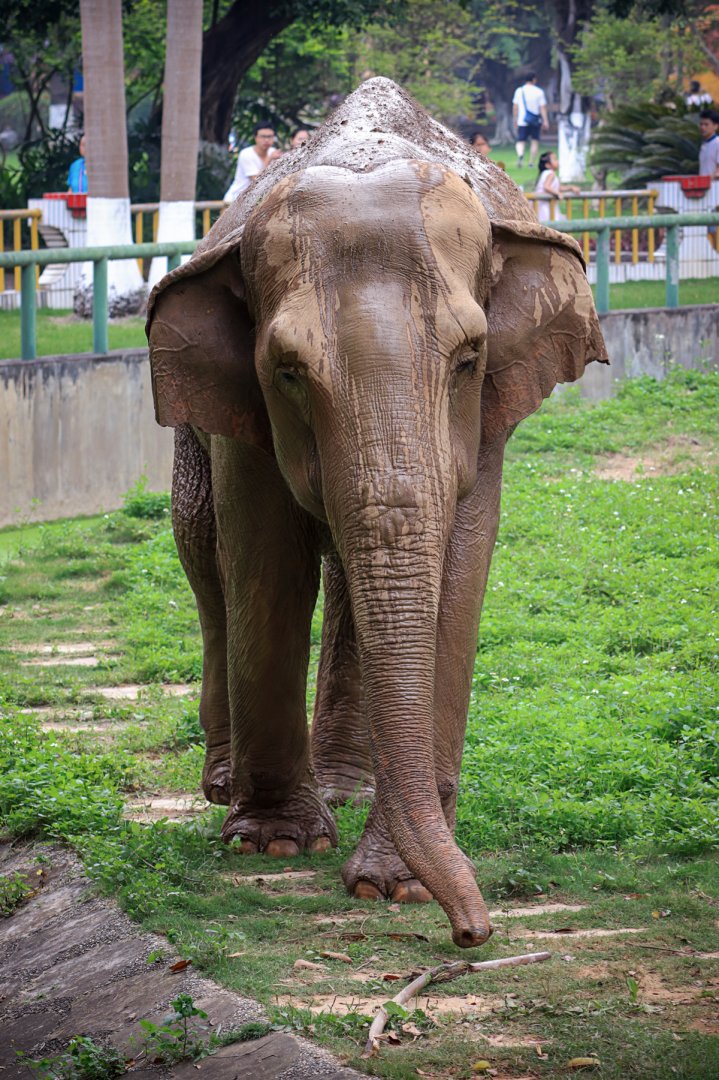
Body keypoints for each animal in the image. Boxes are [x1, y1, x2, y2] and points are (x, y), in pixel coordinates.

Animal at [147, 77, 608, 948]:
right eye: (287, 371)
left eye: (469, 358)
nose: (471, 933)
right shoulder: (241, 404)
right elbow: (264, 559)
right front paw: (275, 841)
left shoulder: (488, 410)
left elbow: (456, 565)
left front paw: (391, 885)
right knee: (202, 550)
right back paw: (228, 785)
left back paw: (350, 788)